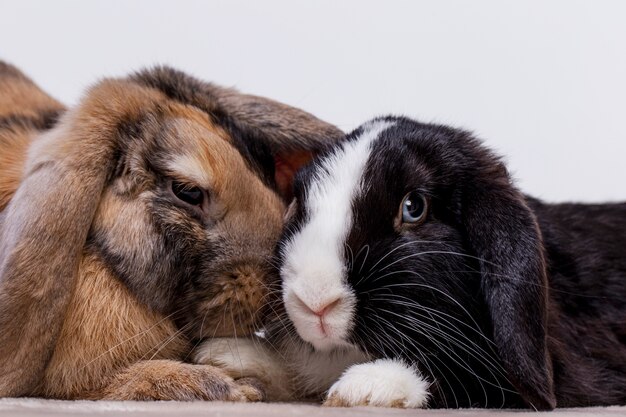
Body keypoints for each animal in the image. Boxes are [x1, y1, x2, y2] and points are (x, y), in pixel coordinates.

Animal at [195, 115, 624, 408]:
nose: (315, 300)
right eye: (298, 204)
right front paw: (227, 355)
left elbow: (463, 374)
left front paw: (366, 388)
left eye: (414, 208)